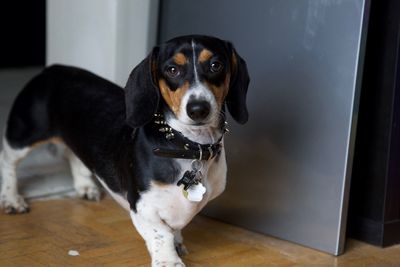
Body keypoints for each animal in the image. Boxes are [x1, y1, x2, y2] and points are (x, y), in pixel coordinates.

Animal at [0, 35, 248, 267]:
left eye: (216, 65)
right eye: (172, 69)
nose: (198, 109)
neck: (187, 146)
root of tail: (51, 69)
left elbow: (173, 227)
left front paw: (177, 242)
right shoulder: (142, 206)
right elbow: (162, 234)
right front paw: (168, 259)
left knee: (74, 154)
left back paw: (85, 186)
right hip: (24, 134)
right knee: (8, 160)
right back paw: (11, 198)